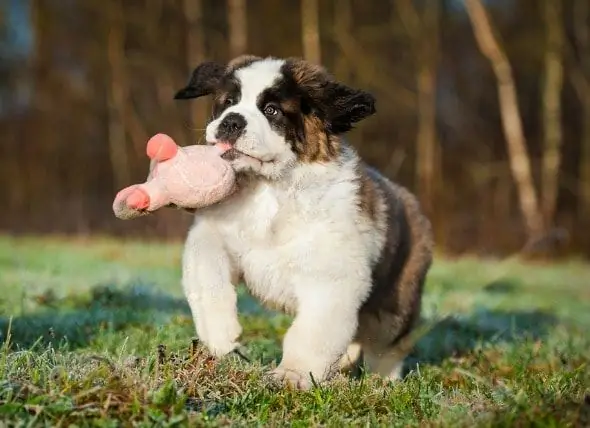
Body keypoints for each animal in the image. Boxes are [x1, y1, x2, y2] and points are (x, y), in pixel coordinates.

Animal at [173, 55, 432, 390]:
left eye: (271, 110)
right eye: (228, 102)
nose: (231, 122)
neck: (268, 189)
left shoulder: (332, 279)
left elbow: (312, 332)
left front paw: (292, 375)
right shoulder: (211, 234)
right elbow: (208, 278)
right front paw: (220, 336)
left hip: (394, 305)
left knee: (385, 346)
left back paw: (383, 383)